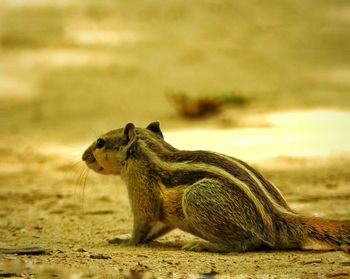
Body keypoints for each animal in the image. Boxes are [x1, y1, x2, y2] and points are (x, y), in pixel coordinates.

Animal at [82, 122, 350, 254]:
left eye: (100, 142)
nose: (83, 156)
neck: (147, 153)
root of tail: (279, 216)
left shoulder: (141, 191)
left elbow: (141, 225)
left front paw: (126, 241)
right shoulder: (163, 217)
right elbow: (157, 228)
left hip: (196, 197)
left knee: (247, 243)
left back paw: (203, 245)